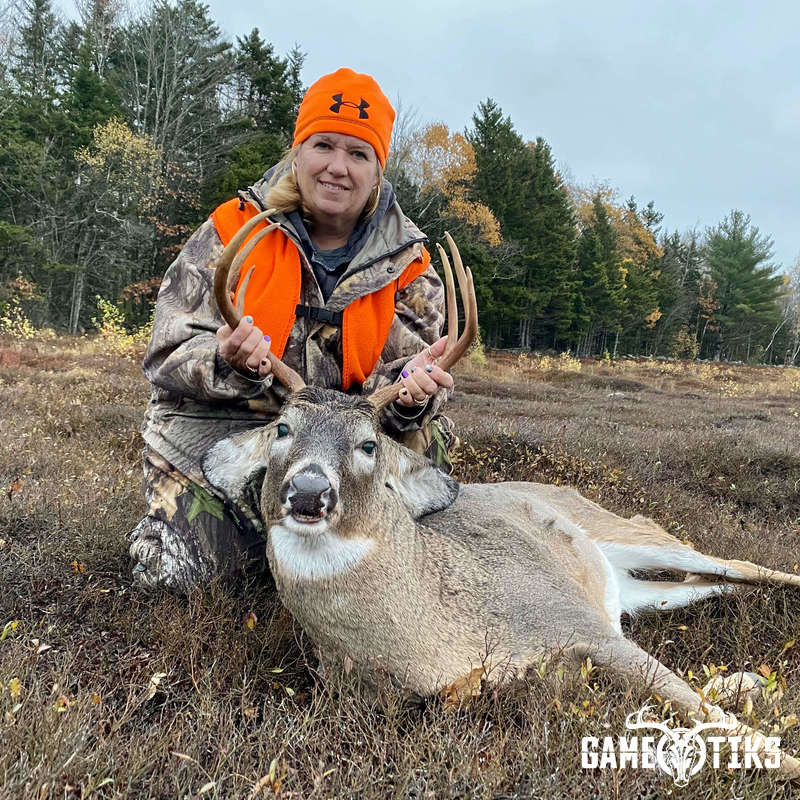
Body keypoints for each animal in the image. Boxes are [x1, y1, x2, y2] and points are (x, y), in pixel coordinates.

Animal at [203, 210, 800, 780]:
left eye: (368, 444)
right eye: (283, 430)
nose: (308, 492)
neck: (436, 641)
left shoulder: (574, 620)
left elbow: (712, 718)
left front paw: (780, 755)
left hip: (627, 530)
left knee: (737, 564)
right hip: (634, 590)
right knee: (705, 585)